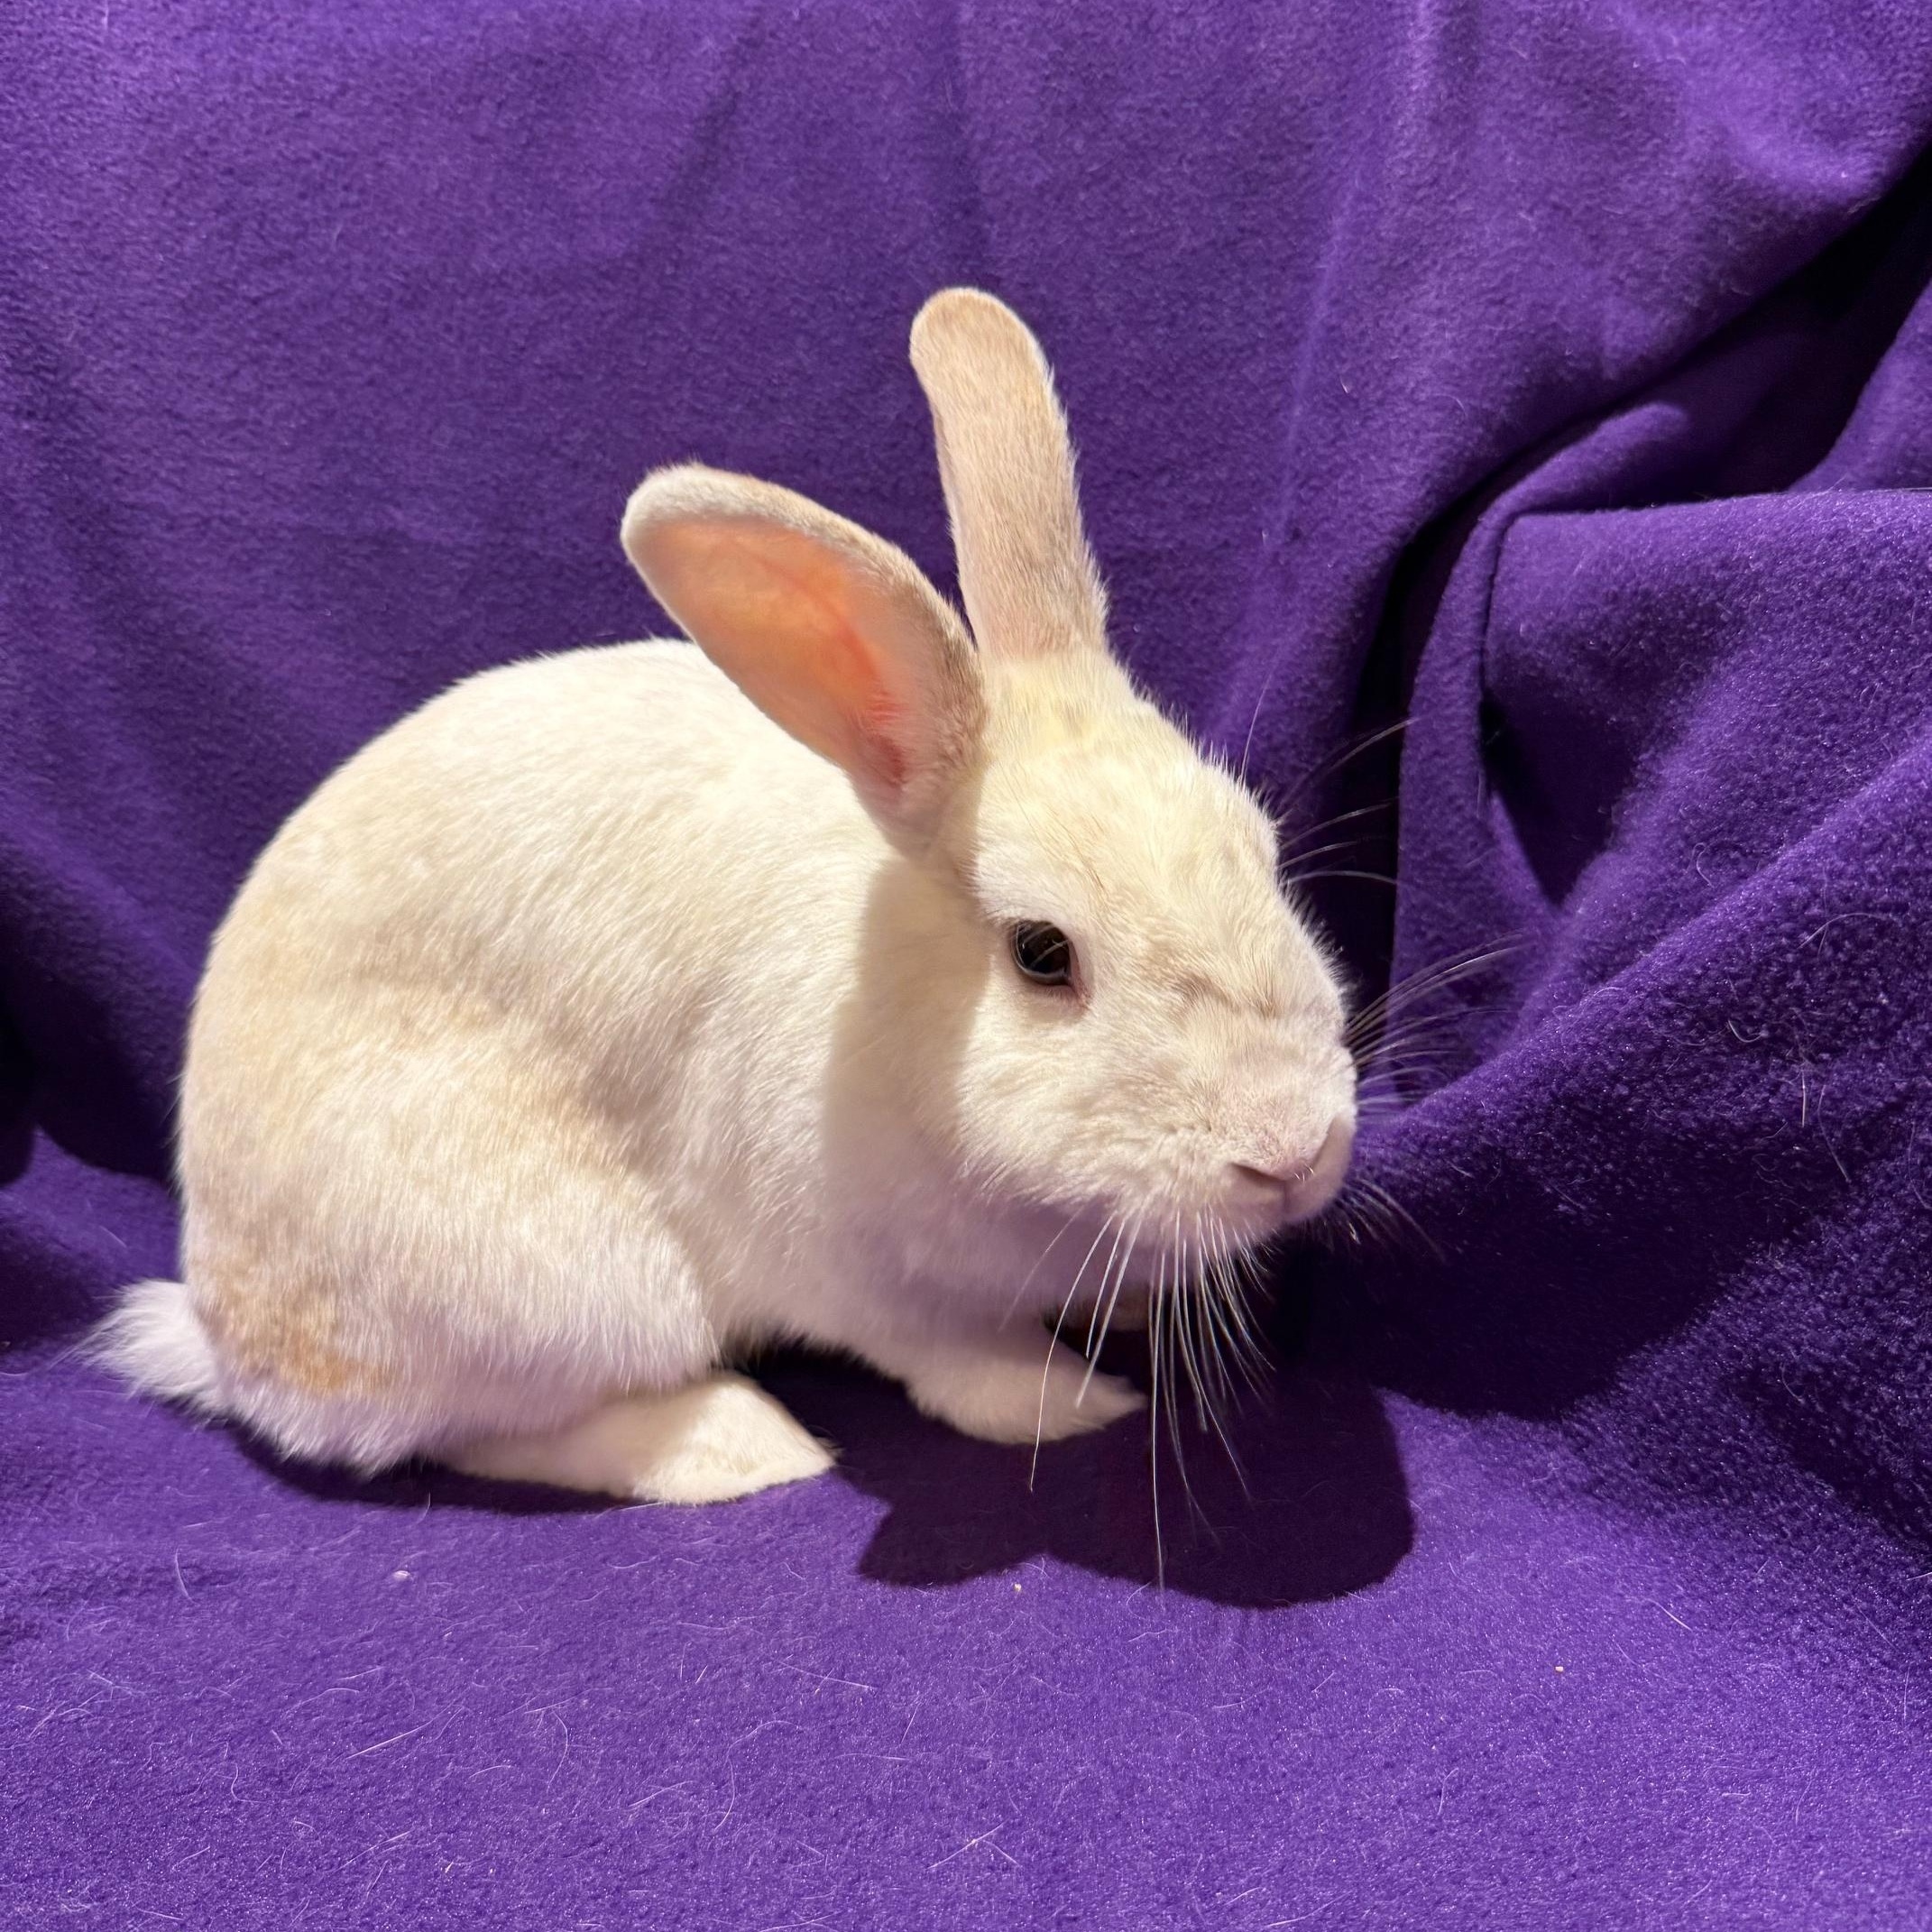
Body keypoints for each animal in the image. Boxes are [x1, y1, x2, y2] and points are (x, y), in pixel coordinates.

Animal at [93, 289, 1357, 1505]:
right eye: (1042, 953)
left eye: (1260, 851)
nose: (1296, 1151)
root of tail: (230, 1340)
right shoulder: (853, 1273)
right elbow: (952, 1360)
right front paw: (1065, 1401)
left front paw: (1131, 1308)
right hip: (555, 1287)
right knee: (474, 1432)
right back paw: (739, 1446)